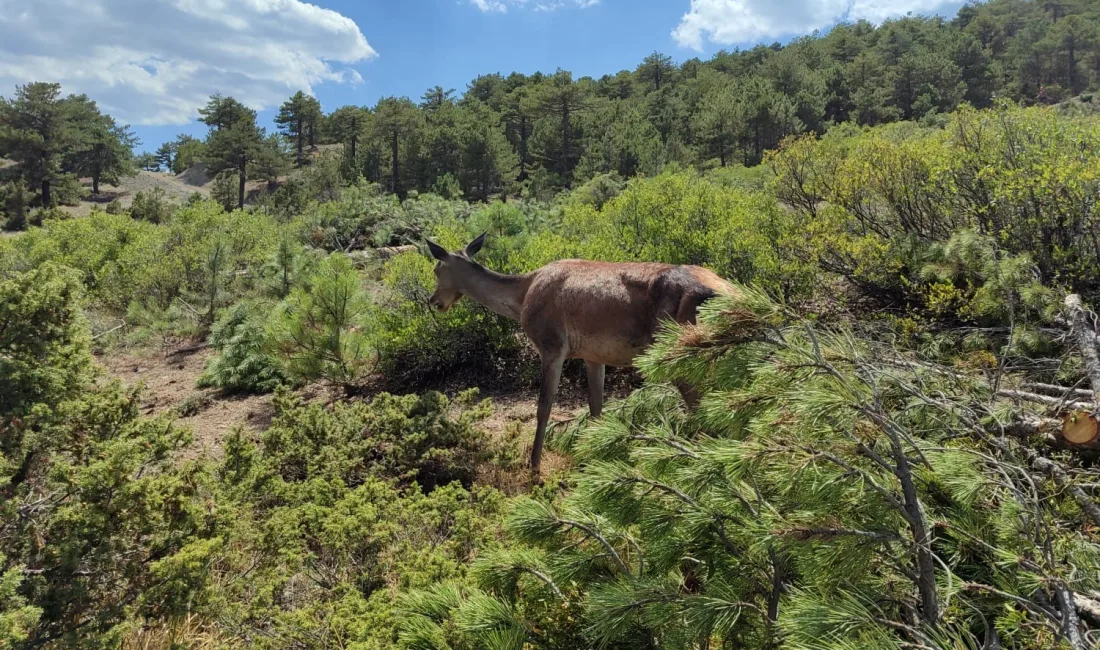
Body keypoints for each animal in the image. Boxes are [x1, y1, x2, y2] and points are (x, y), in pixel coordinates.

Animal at [424, 233, 734, 472]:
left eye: (437, 269)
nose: (433, 301)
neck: (521, 296)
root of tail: (727, 294)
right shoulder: (593, 355)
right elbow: (596, 407)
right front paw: (595, 457)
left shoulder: (551, 344)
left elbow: (544, 406)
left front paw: (534, 465)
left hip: (680, 350)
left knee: (702, 406)